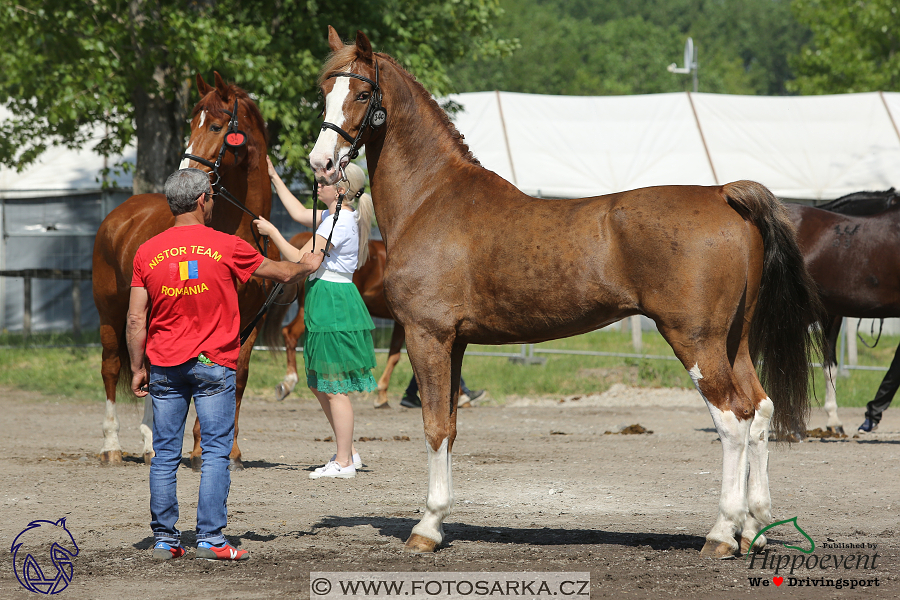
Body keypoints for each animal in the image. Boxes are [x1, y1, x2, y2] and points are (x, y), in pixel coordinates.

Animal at [91, 72, 282, 472]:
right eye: (191, 124)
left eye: (215, 125)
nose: (185, 171)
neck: (243, 227)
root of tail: (120, 215)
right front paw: (199, 450)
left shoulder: (251, 321)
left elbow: (238, 377)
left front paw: (231, 452)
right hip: (111, 312)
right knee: (112, 367)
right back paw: (111, 446)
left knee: (149, 368)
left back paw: (151, 444)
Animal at [270, 231, 404, 408]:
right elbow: (396, 356)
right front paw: (382, 397)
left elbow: (394, 354)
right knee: (291, 333)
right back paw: (292, 381)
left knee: (289, 332)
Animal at [310, 28, 824, 560]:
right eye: (322, 89)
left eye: (363, 93)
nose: (320, 163)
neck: (432, 198)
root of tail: (723, 194)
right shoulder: (456, 343)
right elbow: (449, 428)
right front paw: (439, 520)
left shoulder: (426, 336)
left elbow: (433, 428)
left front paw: (426, 527)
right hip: (735, 341)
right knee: (759, 410)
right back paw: (753, 527)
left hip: (696, 341)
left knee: (732, 420)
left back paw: (722, 533)